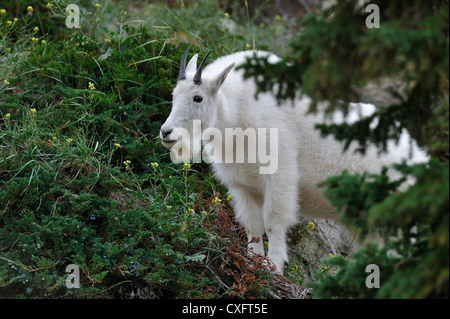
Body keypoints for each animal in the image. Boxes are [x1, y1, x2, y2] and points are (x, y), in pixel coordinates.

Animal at [160, 49, 428, 272]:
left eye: (197, 98)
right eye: (174, 95)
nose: (166, 132)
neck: (237, 114)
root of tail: (419, 158)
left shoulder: (279, 175)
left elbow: (273, 222)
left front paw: (274, 266)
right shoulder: (243, 185)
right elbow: (253, 225)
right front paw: (253, 261)